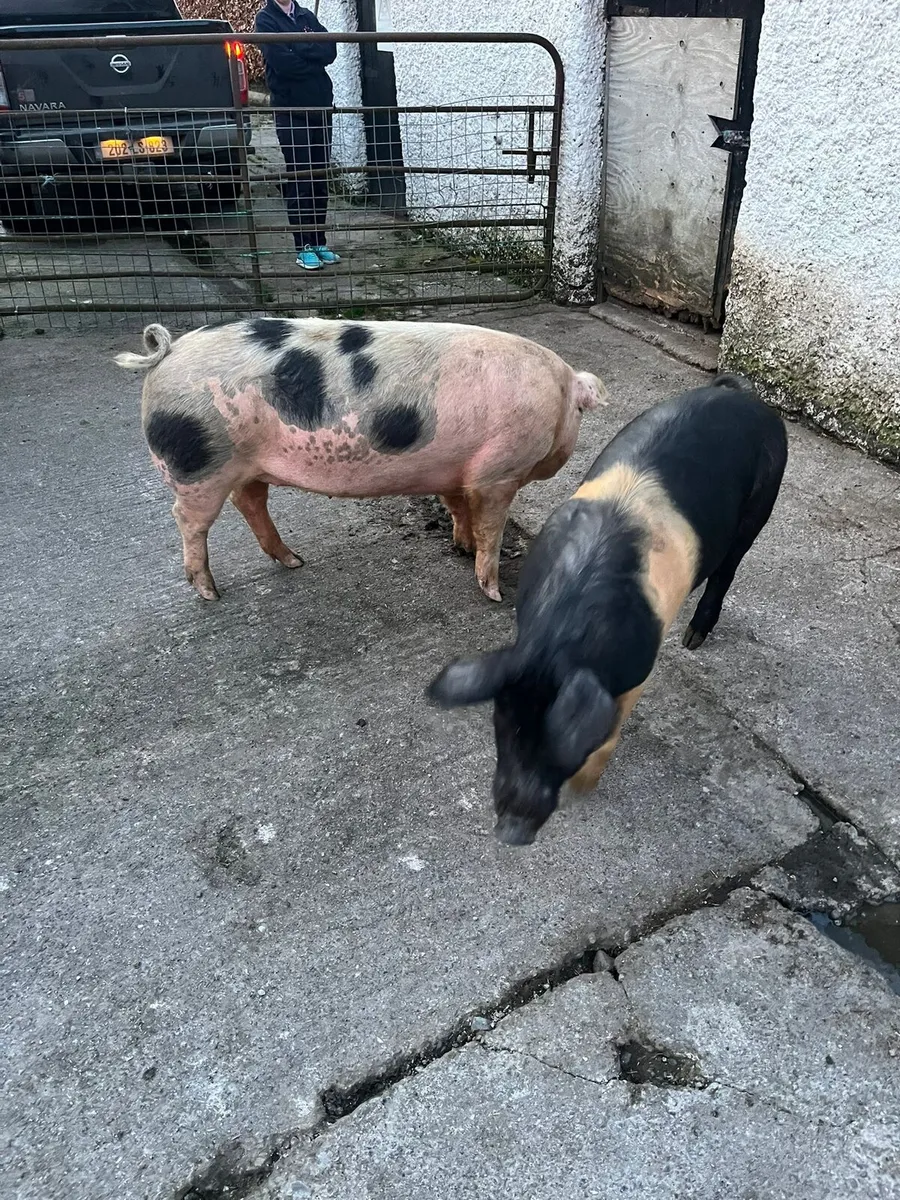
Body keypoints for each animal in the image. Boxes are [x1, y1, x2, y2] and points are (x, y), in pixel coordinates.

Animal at [115, 317, 607, 601]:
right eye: (580, 415)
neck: (559, 393)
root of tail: (168, 352)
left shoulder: (455, 471)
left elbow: (457, 509)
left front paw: (461, 547)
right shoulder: (498, 473)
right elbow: (490, 528)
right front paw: (493, 591)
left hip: (245, 464)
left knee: (249, 502)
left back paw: (294, 561)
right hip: (197, 463)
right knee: (190, 521)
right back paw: (210, 593)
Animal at [427, 374, 788, 846]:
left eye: (562, 747)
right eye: (503, 728)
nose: (510, 833)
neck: (561, 639)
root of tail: (748, 397)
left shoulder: (639, 664)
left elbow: (614, 726)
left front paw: (583, 791)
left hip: (761, 503)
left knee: (727, 569)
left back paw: (693, 640)